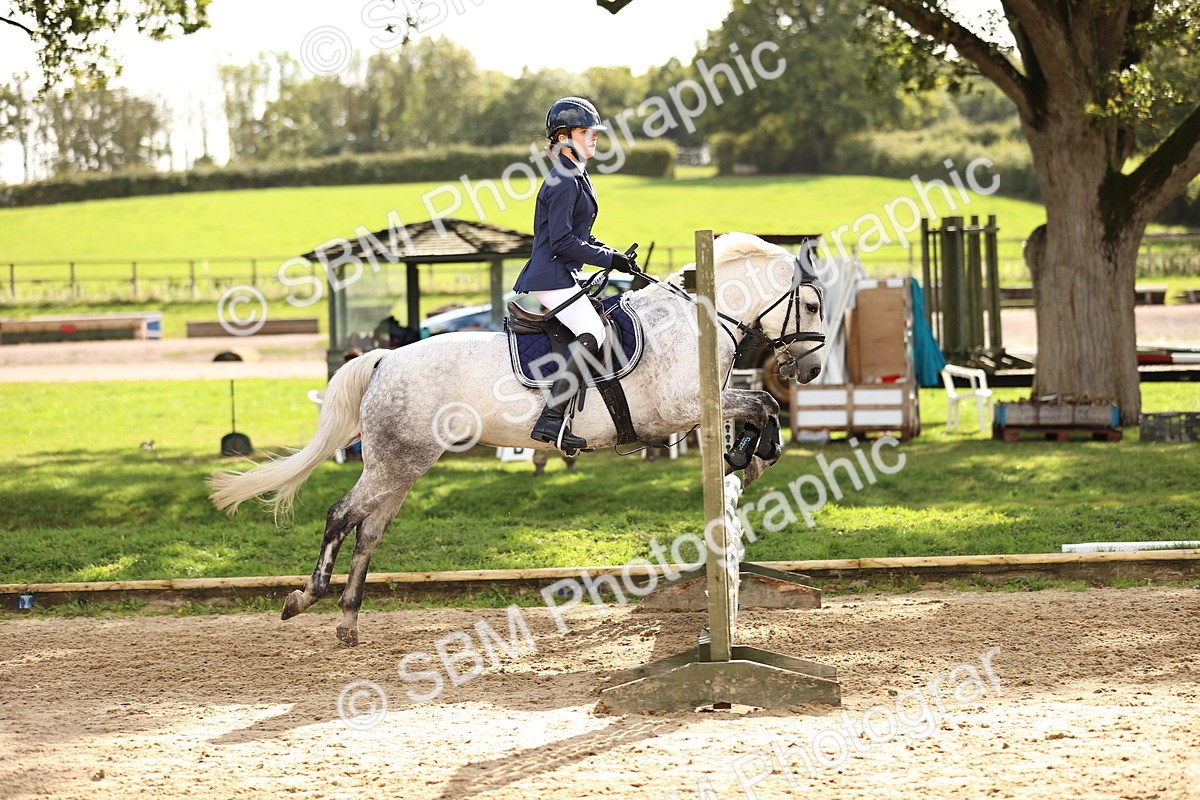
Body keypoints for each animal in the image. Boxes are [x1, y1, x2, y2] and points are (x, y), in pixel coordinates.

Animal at [209, 232, 827, 646]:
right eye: (814, 304)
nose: (812, 369)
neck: (694, 321)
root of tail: (385, 359)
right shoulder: (680, 410)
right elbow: (764, 406)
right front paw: (752, 456)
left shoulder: (698, 410)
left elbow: (761, 407)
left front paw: (746, 456)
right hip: (393, 463)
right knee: (342, 515)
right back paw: (304, 598)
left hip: (404, 465)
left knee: (369, 533)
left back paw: (347, 620)